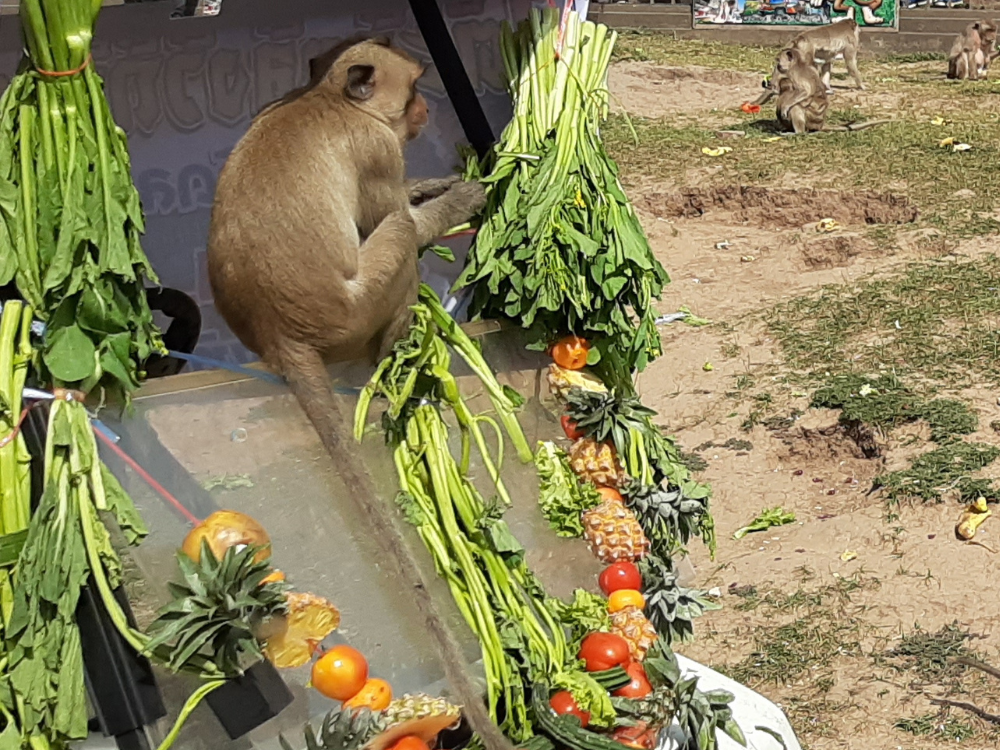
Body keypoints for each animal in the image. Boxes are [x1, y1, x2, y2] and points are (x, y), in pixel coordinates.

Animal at [204, 38, 516, 750]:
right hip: (354, 310)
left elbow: (404, 198)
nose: (425, 112)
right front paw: (464, 195)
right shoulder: (376, 148)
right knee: (396, 236)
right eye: (416, 88)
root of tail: (278, 335)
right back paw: (398, 343)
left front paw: (436, 182)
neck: (327, 99)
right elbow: (399, 218)